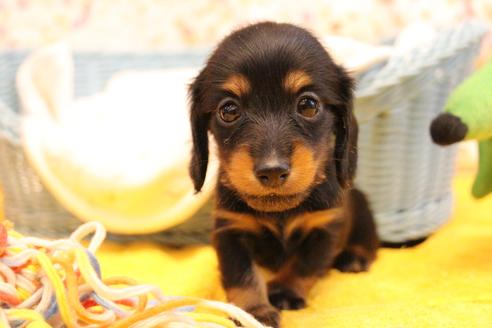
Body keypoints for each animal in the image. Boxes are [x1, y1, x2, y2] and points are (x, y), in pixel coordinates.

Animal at [189, 21, 380, 326]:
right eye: (228, 110)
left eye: (308, 105)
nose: (272, 171)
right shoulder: (230, 229)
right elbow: (241, 274)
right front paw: (253, 310)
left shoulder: (325, 226)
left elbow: (304, 264)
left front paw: (284, 291)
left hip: (361, 207)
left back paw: (355, 257)